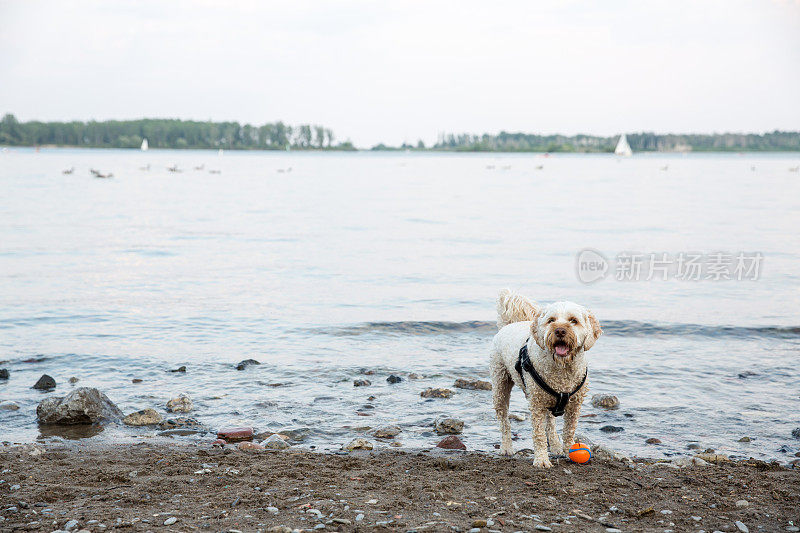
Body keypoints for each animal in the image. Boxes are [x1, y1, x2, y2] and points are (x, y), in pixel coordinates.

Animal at [488, 288, 600, 468]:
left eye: (573, 320)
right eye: (551, 320)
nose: (560, 331)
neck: (562, 369)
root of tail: (508, 325)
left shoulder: (575, 405)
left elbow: (569, 430)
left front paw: (568, 450)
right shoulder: (537, 405)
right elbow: (539, 433)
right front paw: (541, 459)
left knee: (551, 423)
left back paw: (555, 445)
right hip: (500, 384)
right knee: (504, 420)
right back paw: (506, 447)